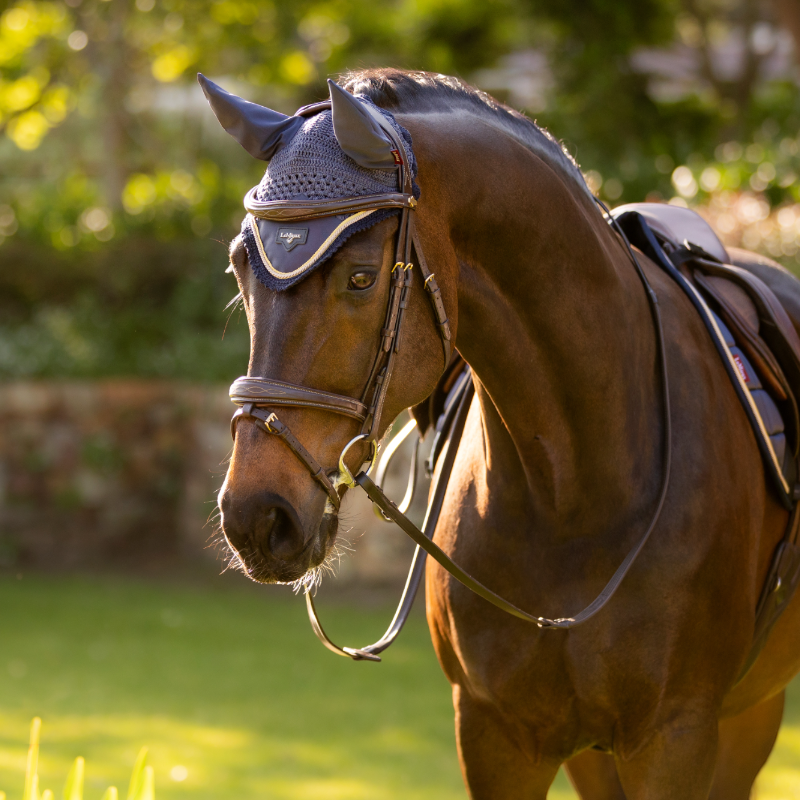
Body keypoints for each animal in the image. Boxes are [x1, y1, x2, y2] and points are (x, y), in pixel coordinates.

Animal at [214, 68, 800, 798]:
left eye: (361, 277)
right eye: (240, 269)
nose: (255, 516)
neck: (575, 487)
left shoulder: (677, 737)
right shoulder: (496, 735)